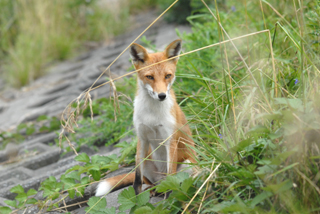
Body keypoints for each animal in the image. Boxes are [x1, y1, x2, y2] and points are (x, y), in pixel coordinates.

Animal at [95, 39, 195, 197]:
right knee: (149, 182)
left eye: (168, 76)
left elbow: (171, 177)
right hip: (147, 161)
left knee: (176, 179)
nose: (162, 95)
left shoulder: (170, 140)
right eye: (150, 77)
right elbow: (137, 180)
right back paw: (154, 190)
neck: (152, 115)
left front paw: (170, 197)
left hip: (188, 164)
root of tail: (160, 181)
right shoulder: (141, 138)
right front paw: (136, 199)